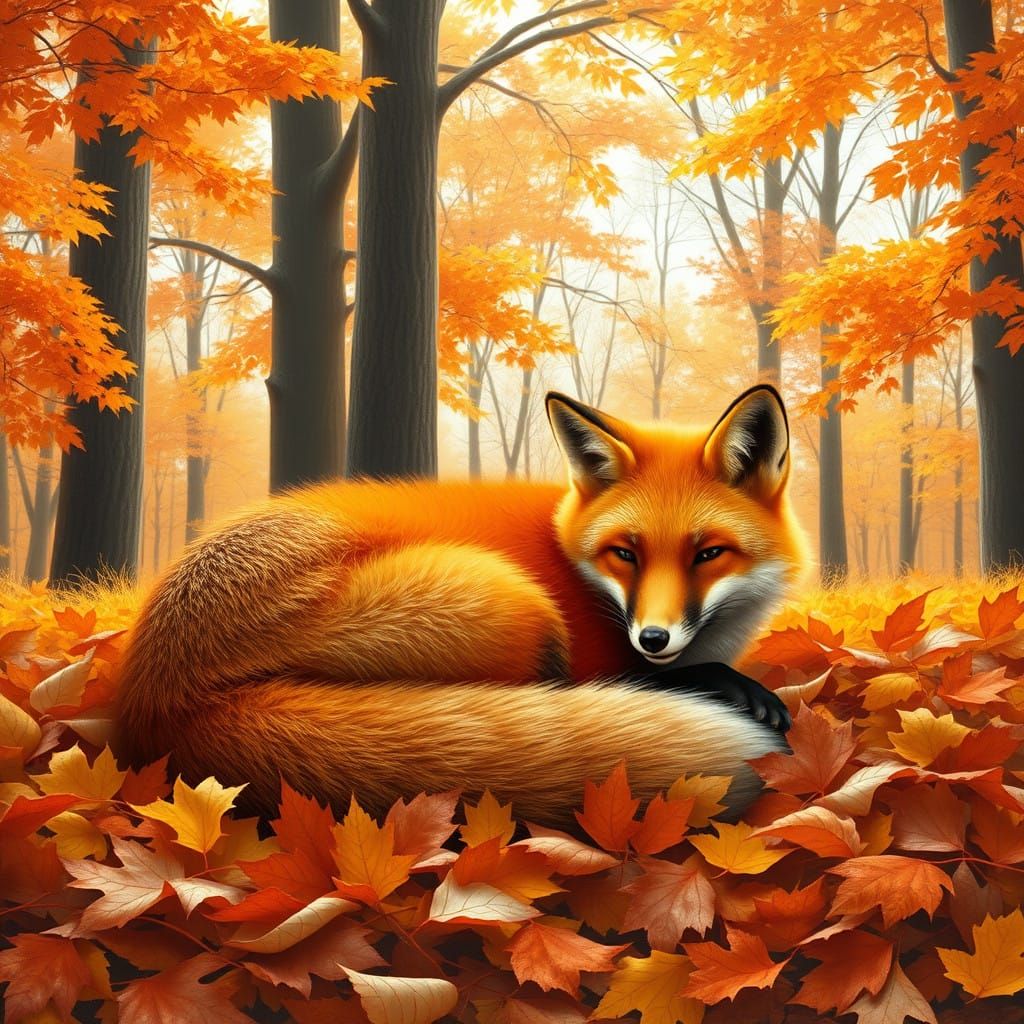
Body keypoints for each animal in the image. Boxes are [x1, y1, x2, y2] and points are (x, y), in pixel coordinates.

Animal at [115, 384, 808, 827]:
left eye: (708, 553)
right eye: (625, 554)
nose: (654, 638)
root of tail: (159, 694)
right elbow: (640, 676)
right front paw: (730, 685)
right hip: (525, 614)